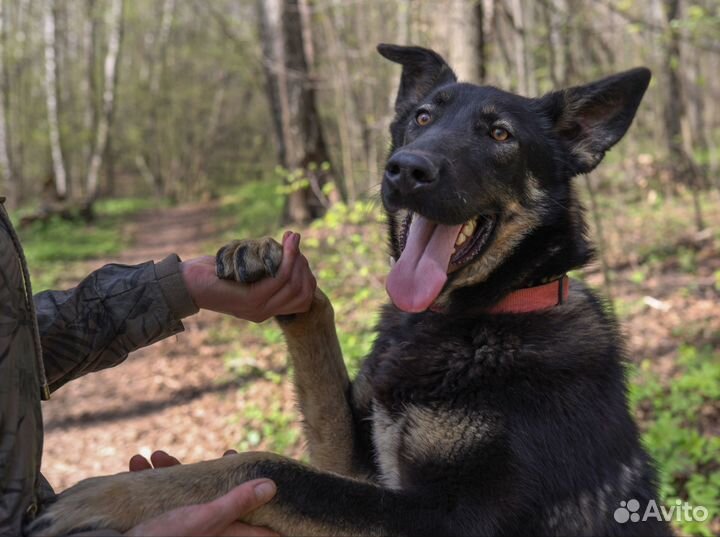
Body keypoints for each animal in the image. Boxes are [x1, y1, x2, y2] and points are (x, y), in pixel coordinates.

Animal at [31, 46, 672, 536]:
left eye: (500, 134)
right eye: (421, 118)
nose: (406, 169)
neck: (465, 318)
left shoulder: (446, 518)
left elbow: (269, 469)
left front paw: (106, 497)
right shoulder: (360, 460)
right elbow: (318, 358)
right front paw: (268, 259)